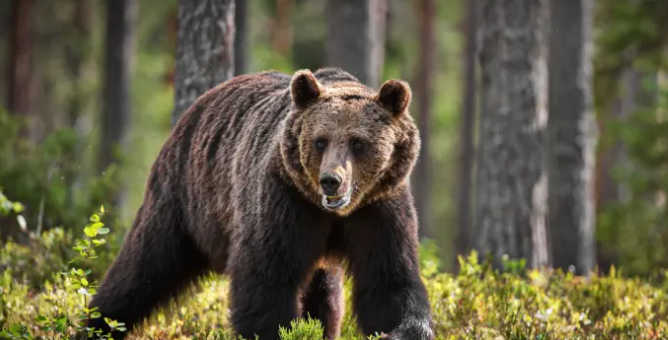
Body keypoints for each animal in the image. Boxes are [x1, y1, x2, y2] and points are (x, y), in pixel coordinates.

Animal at [85, 67, 434, 340]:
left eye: (358, 143)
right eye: (320, 141)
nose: (330, 180)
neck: (330, 212)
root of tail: (193, 111)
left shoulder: (378, 208)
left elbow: (389, 281)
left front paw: (401, 332)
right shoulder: (284, 199)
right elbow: (266, 278)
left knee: (325, 296)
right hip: (183, 199)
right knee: (143, 267)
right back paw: (97, 323)